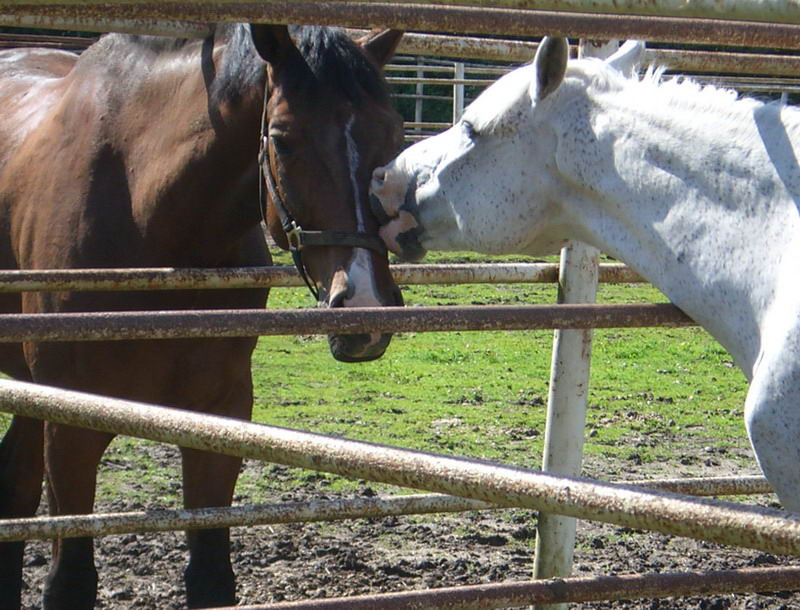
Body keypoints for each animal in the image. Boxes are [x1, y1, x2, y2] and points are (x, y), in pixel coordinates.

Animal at [0, 23, 404, 608]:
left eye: (394, 135)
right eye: (282, 138)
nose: (363, 305)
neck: (147, 216)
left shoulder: (221, 410)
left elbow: (211, 576)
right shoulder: (71, 420)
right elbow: (70, 581)